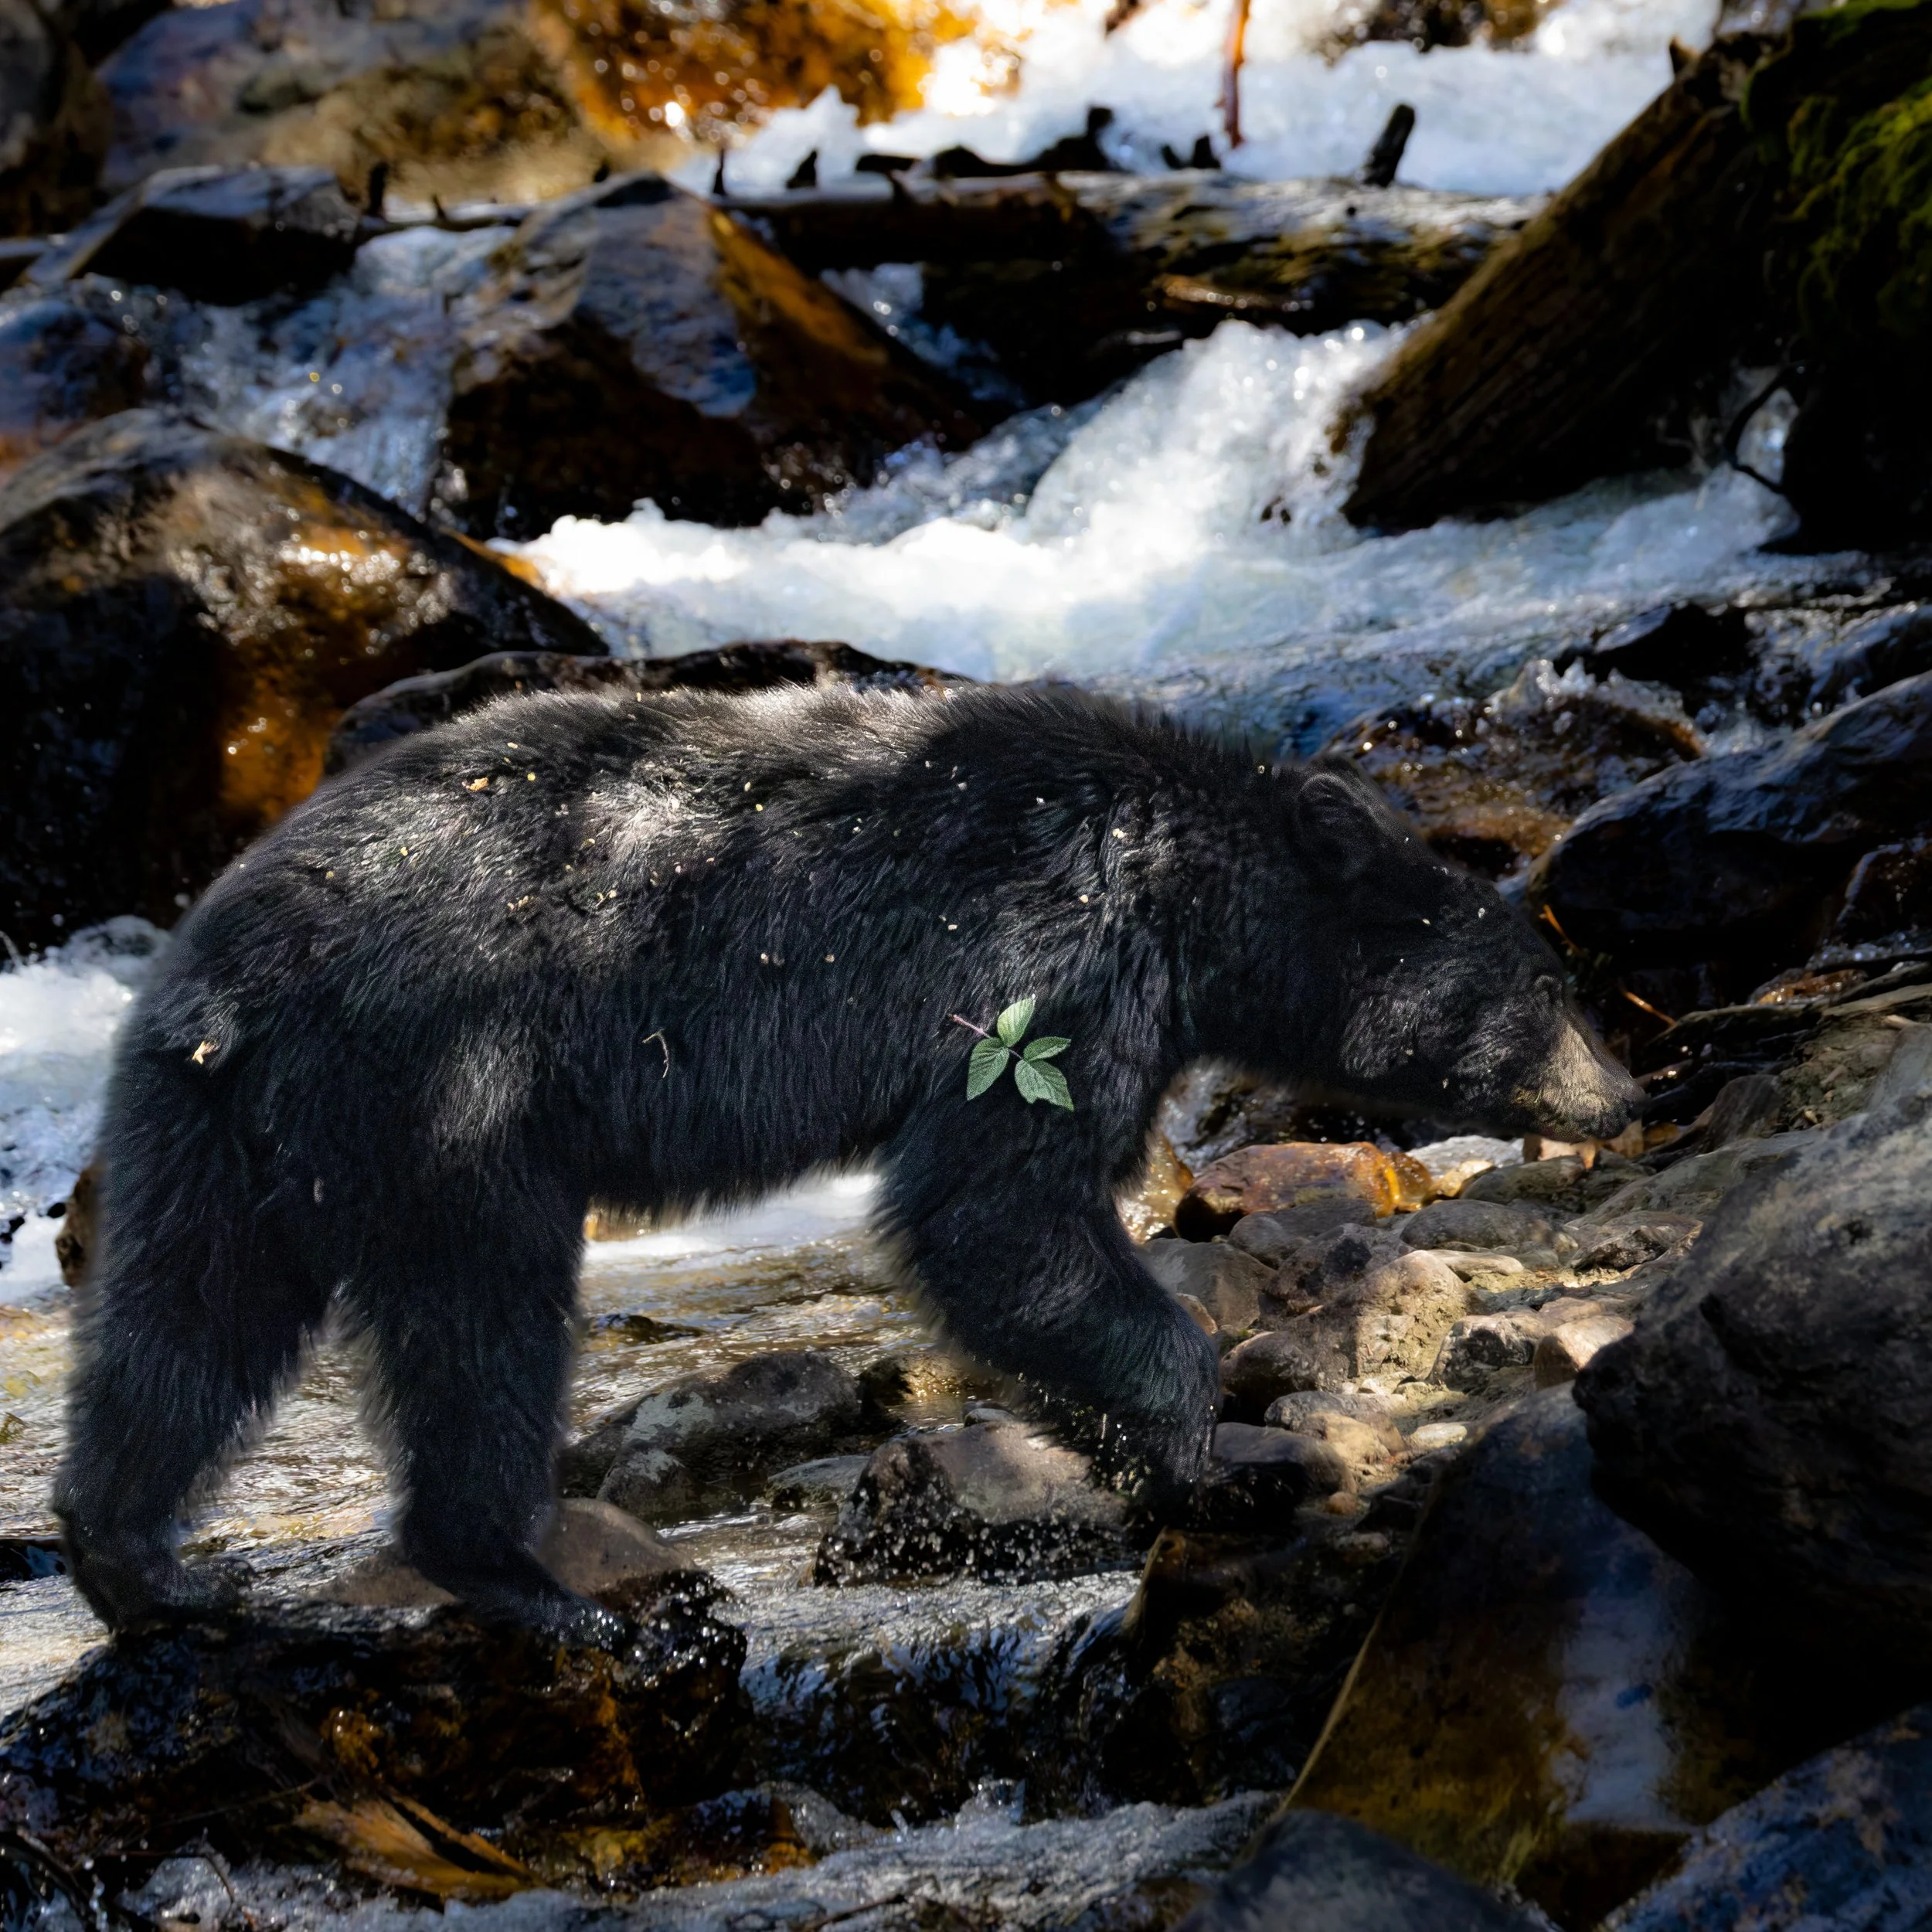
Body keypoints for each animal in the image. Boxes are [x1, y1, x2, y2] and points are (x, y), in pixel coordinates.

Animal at [55, 682, 1640, 1645]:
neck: (1192, 889)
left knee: (183, 1327)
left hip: (215, 1127)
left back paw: (139, 1566)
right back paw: (534, 1580)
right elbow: (997, 1211)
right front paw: (1205, 1457)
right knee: (478, 1319)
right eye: (1549, 985)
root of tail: (228, 979)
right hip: (450, 1087)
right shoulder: (1051, 959)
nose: (1625, 1094)